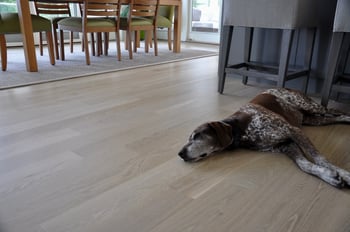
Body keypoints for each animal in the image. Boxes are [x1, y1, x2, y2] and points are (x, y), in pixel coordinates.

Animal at [179, 88, 350, 188]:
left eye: (196, 136)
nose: (179, 154)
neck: (242, 129)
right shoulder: (286, 145)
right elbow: (304, 165)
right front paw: (329, 176)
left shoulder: (292, 131)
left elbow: (319, 157)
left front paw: (343, 173)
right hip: (314, 119)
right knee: (337, 117)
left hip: (312, 107)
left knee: (335, 110)